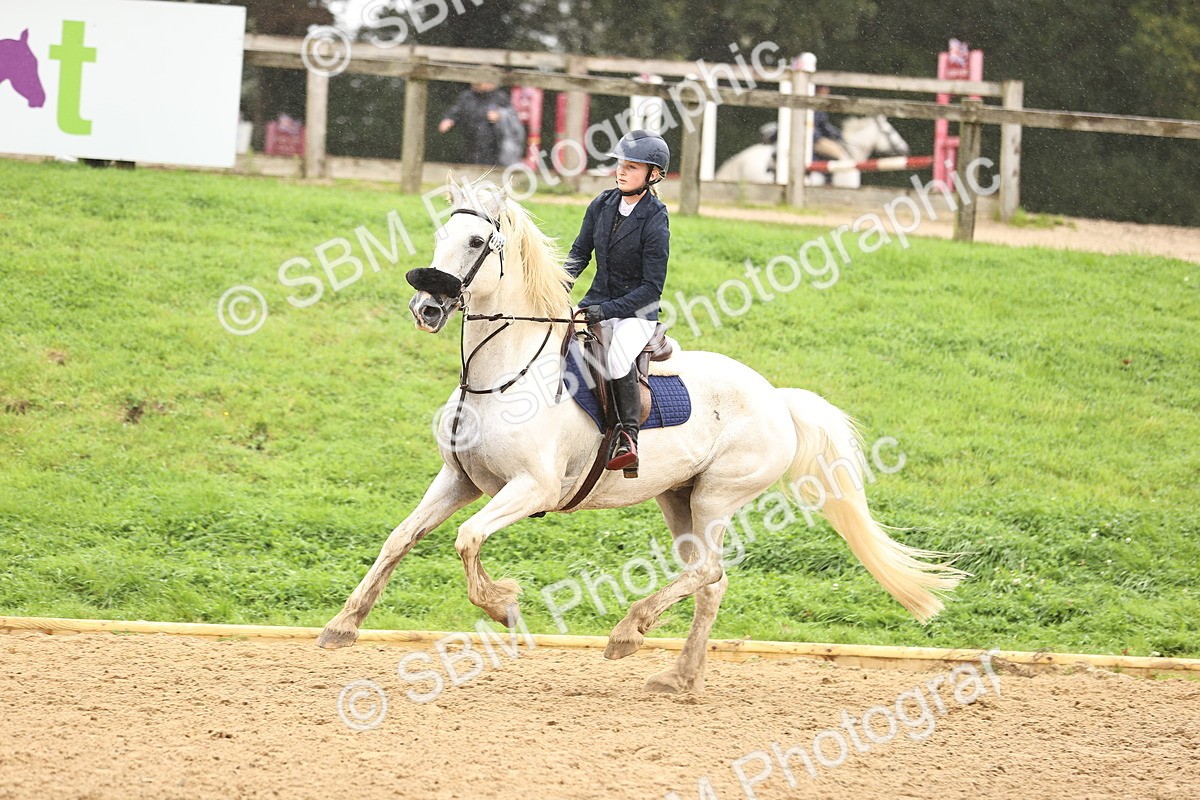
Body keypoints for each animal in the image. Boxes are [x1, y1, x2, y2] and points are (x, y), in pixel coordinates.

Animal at [316, 177, 963, 693]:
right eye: (439, 236)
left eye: (477, 243)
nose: (427, 307)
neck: (502, 373)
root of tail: (777, 397)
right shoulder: (460, 481)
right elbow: (400, 539)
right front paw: (343, 625)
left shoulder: (532, 488)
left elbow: (468, 540)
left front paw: (506, 608)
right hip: (679, 500)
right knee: (711, 582)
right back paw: (679, 675)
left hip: (717, 496)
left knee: (707, 572)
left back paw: (629, 632)